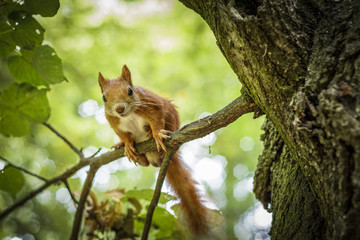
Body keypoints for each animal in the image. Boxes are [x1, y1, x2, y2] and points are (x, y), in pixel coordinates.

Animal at [97, 64, 208, 235]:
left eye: (130, 90)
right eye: (104, 97)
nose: (119, 109)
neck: (128, 115)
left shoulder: (151, 103)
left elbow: (156, 119)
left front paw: (156, 133)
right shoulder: (114, 122)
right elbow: (123, 135)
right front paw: (126, 144)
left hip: (171, 115)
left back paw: (150, 135)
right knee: (144, 161)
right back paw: (132, 153)